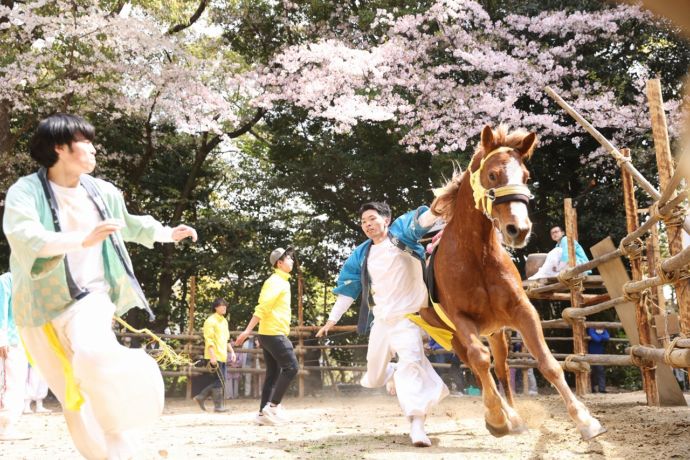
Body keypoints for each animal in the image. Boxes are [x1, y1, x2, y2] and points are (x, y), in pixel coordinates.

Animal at [422, 124, 604, 440]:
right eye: (493, 175)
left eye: (526, 177)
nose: (518, 229)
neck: (478, 255)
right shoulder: (461, 319)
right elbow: (480, 360)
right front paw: (496, 418)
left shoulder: (522, 311)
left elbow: (548, 363)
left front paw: (584, 419)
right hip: (452, 335)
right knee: (477, 365)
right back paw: (500, 415)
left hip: (496, 332)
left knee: (503, 368)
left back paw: (515, 417)